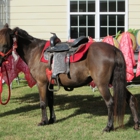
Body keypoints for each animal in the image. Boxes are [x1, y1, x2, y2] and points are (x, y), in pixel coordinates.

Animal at [0, 24, 139, 132]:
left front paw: (43, 121)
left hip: (102, 84)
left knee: (110, 102)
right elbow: (50, 102)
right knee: (131, 99)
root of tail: (114, 50)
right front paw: (52, 119)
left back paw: (108, 127)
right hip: (115, 81)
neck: (35, 51)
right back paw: (136, 124)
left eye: (5, 44)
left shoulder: (41, 83)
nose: (0, 60)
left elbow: (43, 103)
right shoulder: (50, 84)